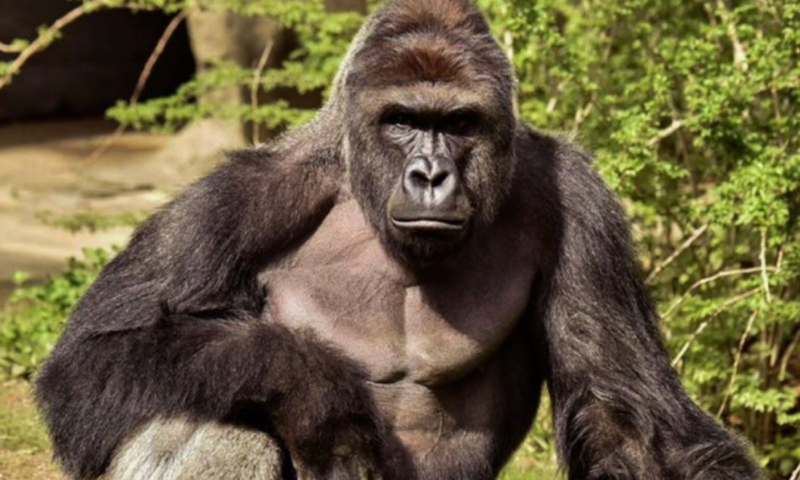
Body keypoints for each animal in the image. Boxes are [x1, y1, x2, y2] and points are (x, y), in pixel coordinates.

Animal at [36, 1, 763, 479]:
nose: (432, 174)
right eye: (403, 120)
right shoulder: (238, 199)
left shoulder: (580, 207)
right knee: (205, 417)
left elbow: (629, 417)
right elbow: (91, 361)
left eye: (460, 123)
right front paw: (314, 389)